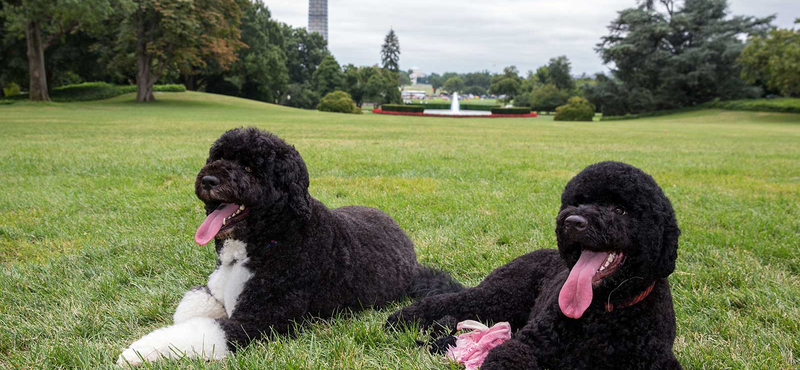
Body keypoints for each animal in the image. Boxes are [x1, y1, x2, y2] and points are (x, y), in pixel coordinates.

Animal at [115, 129, 460, 366]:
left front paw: (137, 352)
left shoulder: (260, 321)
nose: (208, 180)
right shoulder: (213, 291)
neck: (269, 238)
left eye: (250, 168)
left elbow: (203, 330)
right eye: (217, 157)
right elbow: (190, 310)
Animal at [386, 162, 680, 370]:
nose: (572, 222)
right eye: (578, 201)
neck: (604, 310)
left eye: (620, 209)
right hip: (500, 295)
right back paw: (400, 319)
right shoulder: (529, 344)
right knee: (449, 300)